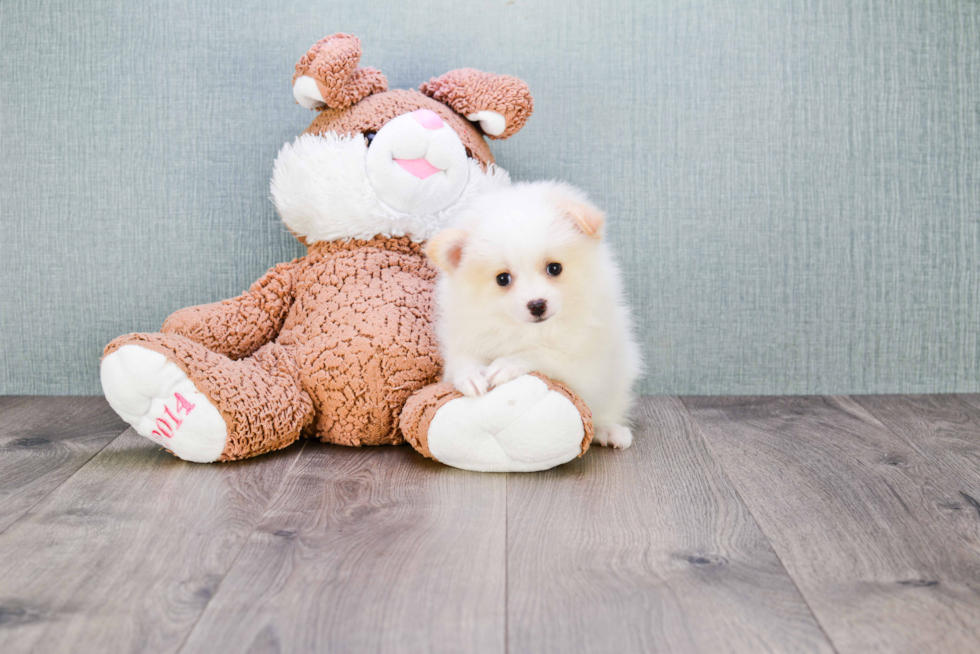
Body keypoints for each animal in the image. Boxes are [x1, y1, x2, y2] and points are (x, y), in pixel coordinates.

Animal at [426, 179, 644, 452]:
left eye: (554, 268)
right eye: (503, 279)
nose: (537, 305)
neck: (527, 330)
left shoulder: (580, 360)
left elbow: (541, 353)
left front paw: (507, 364)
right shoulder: (466, 337)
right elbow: (462, 360)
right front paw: (472, 375)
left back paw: (611, 431)